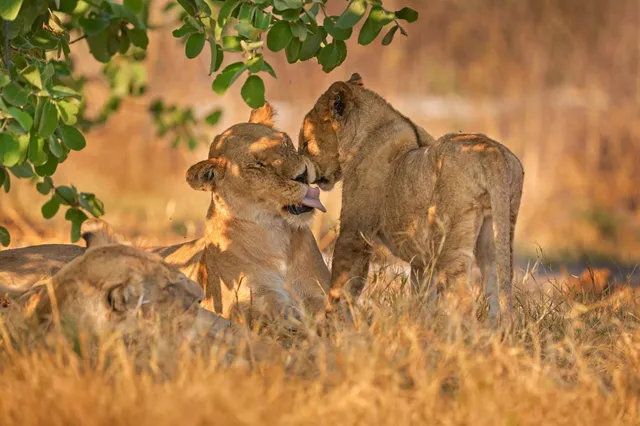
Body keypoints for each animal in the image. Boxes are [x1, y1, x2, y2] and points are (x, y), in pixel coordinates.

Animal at [0, 103, 331, 326]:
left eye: (286, 142)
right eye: (257, 166)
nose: (303, 175)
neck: (277, 238)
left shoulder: (321, 297)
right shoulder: (246, 306)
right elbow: (279, 319)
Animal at [298, 73, 524, 321]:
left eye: (305, 144)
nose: (301, 173)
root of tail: (492, 153)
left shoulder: (355, 232)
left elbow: (342, 282)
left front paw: (331, 321)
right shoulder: (421, 260)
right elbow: (422, 296)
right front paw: (420, 322)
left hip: (449, 240)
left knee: (461, 301)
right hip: (497, 233)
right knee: (497, 289)